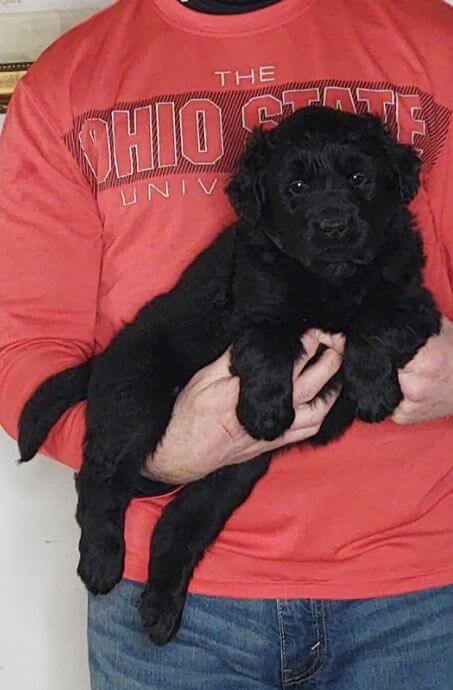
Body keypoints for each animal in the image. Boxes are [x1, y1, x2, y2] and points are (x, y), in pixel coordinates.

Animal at [16, 105, 438, 644]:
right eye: (295, 186)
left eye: (360, 178)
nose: (333, 226)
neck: (331, 279)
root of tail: (103, 356)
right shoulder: (251, 307)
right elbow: (267, 343)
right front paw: (265, 410)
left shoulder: (415, 299)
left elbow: (378, 321)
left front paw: (370, 391)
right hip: (135, 399)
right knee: (99, 478)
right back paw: (101, 563)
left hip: (232, 473)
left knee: (176, 526)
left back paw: (159, 611)